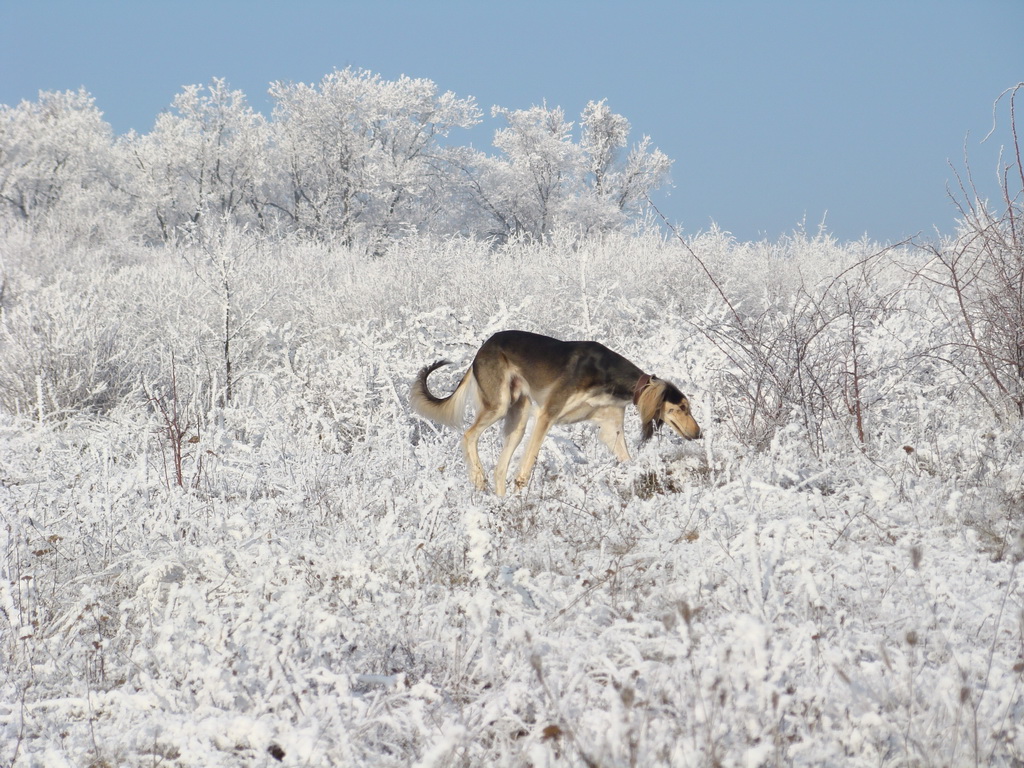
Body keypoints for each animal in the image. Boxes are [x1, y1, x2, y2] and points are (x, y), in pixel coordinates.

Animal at [411, 331, 700, 499]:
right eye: (681, 408)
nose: (698, 434)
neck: (608, 374)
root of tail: (483, 346)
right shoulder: (547, 414)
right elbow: (527, 465)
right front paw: (522, 491)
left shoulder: (611, 428)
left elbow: (628, 459)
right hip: (499, 405)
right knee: (468, 436)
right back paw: (478, 480)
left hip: (517, 420)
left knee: (499, 468)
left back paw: (502, 504)